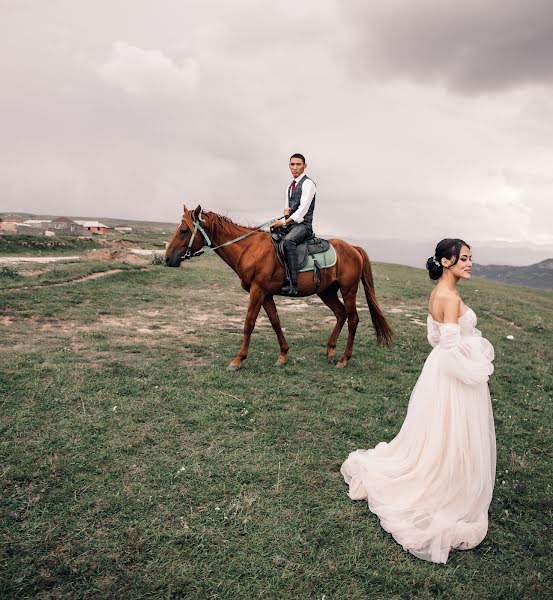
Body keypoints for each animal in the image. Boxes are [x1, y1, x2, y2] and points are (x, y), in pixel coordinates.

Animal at [165, 206, 392, 370]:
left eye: (184, 231)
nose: (167, 259)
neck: (249, 249)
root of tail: (353, 248)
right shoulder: (265, 294)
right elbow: (275, 322)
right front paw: (283, 355)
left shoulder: (257, 291)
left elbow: (249, 324)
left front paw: (238, 360)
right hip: (326, 292)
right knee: (340, 314)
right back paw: (330, 352)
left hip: (348, 290)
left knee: (353, 319)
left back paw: (344, 359)